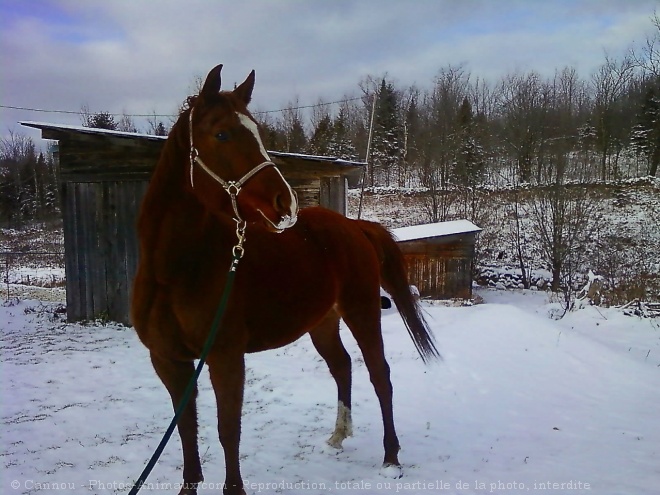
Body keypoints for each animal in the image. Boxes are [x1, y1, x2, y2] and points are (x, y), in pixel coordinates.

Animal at [130, 64, 438, 494]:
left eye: (257, 131)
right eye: (222, 134)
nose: (285, 201)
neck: (173, 272)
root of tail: (354, 227)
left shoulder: (225, 357)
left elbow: (228, 430)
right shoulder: (168, 360)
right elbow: (186, 429)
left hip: (361, 312)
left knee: (380, 375)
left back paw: (391, 458)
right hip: (323, 321)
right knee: (342, 366)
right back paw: (339, 435)